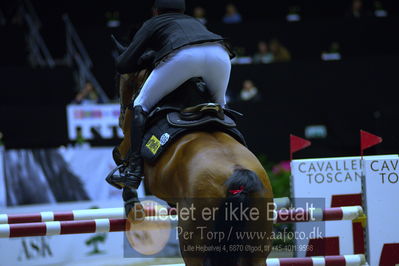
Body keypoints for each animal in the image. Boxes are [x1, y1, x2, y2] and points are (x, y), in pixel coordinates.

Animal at [114, 69, 274, 264]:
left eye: (125, 81)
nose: (121, 116)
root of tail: (238, 174)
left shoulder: (126, 145)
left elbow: (118, 154)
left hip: (193, 244)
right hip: (258, 248)